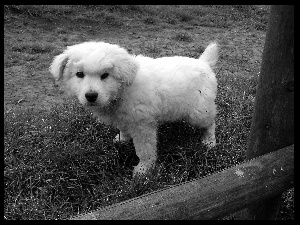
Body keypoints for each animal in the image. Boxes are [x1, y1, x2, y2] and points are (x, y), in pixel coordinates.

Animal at [49, 41, 218, 177]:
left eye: (105, 75)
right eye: (79, 74)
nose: (91, 96)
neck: (121, 91)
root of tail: (203, 63)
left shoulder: (142, 125)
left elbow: (144, 150)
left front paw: (143, 170)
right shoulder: (122, 118)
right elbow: (123, 128)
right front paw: (122, 139)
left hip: (199, 112)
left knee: (210, 122)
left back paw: (209, 141)